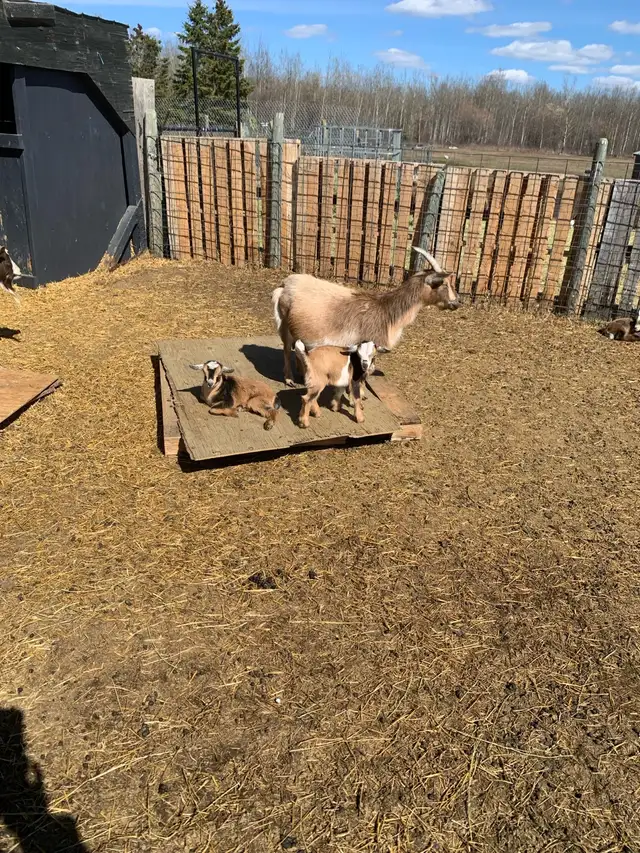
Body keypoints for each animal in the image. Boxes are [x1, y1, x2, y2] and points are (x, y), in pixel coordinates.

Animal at [272, 246, 458, 386]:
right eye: (444, 283)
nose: (457, 302)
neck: (387, 312)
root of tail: (284, 285)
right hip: (284, 323)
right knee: (286, 349)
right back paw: (289, 379)